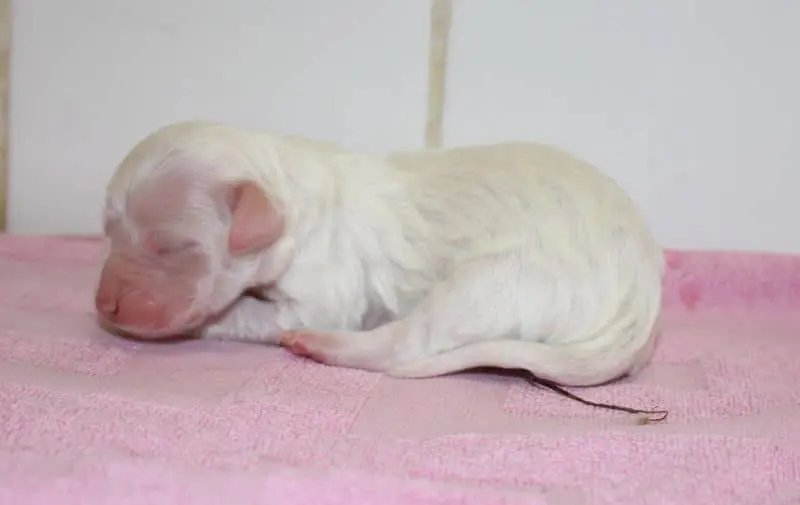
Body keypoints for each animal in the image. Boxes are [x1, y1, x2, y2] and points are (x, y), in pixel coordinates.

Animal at [95, 120, 664, 387]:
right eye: (109, 232)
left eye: (172, 247)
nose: (104, 307)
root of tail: (639, 316)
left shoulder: (323, 290)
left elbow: (247, 314)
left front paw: (203, 323)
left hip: (494, 282)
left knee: (406, 345)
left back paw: (321, 345)